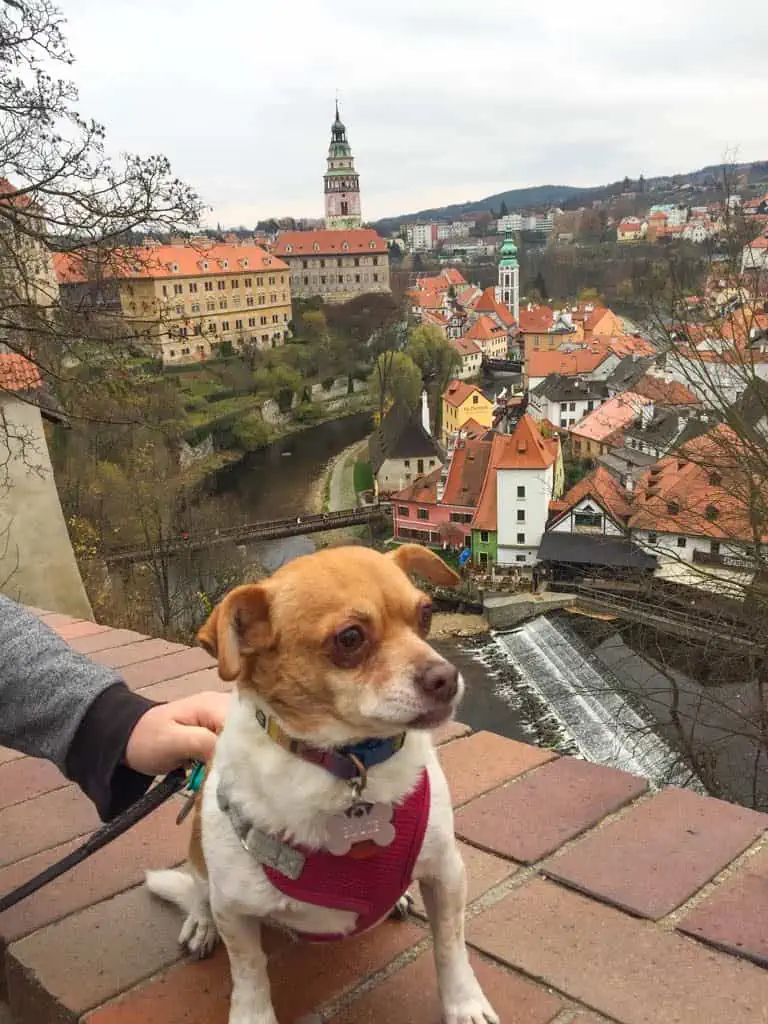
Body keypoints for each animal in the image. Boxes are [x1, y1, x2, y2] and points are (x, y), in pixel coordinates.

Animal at [148, 544, 501, 1024]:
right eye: (350, 638)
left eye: (426, 614)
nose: (446, 677)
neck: (350, 762)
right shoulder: (235, 913)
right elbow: (249, 973)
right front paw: (252, 1015)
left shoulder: (445, 874)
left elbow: (450, 947)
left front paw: (464, 1004)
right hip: (203, 862)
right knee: (199, 893)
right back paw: (201, 924)